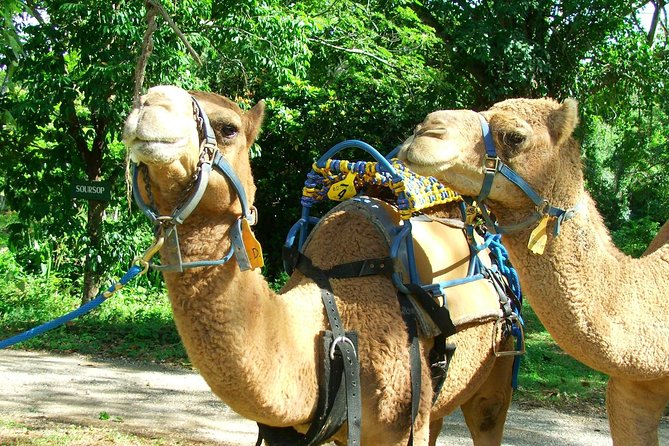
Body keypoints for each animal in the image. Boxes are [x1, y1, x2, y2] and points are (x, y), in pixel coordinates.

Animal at [122, 85, 522, 445]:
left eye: (228, 128)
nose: (149, 102)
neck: (329, 313)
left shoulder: (397, 425)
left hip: (497, 365)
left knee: (488, 415)